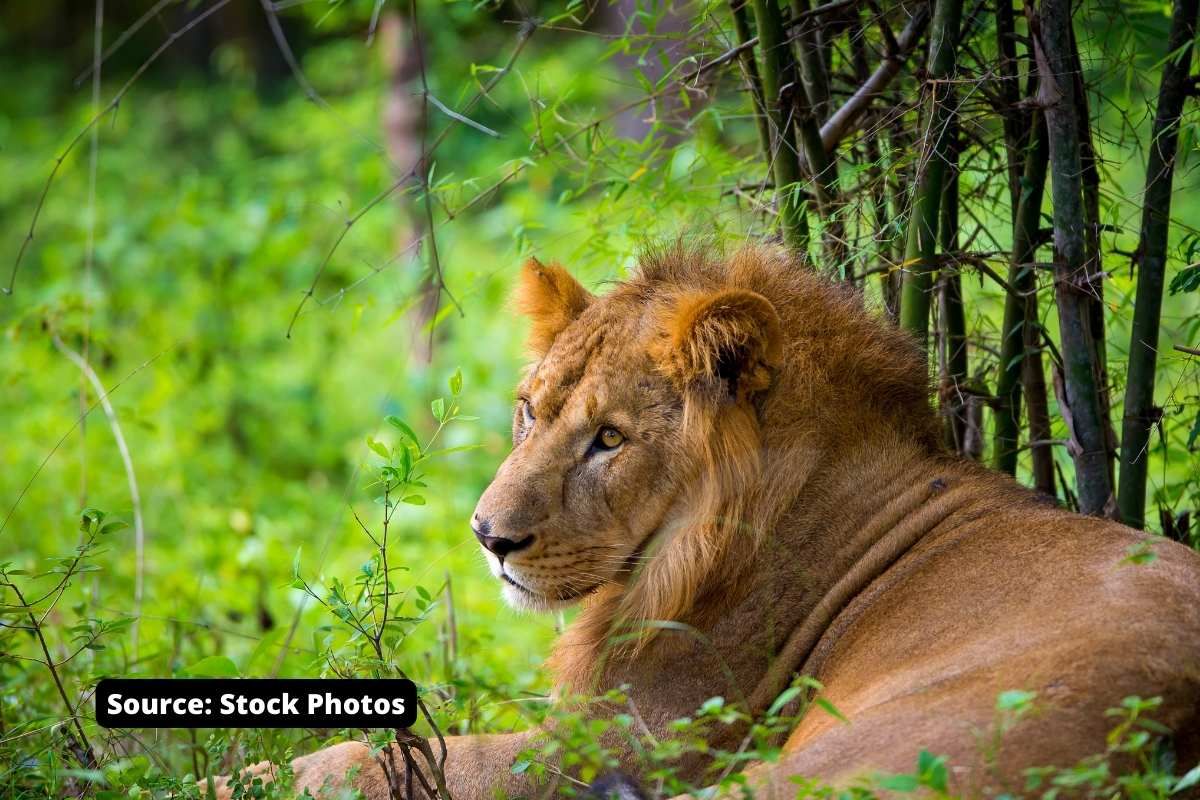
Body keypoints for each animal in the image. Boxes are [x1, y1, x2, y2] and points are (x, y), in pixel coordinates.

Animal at [218, 244, 1200, 799]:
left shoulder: (631, 741)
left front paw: (240, 776)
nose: (488, 538)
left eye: (609, 439)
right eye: (531, 412)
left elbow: (401, 759)